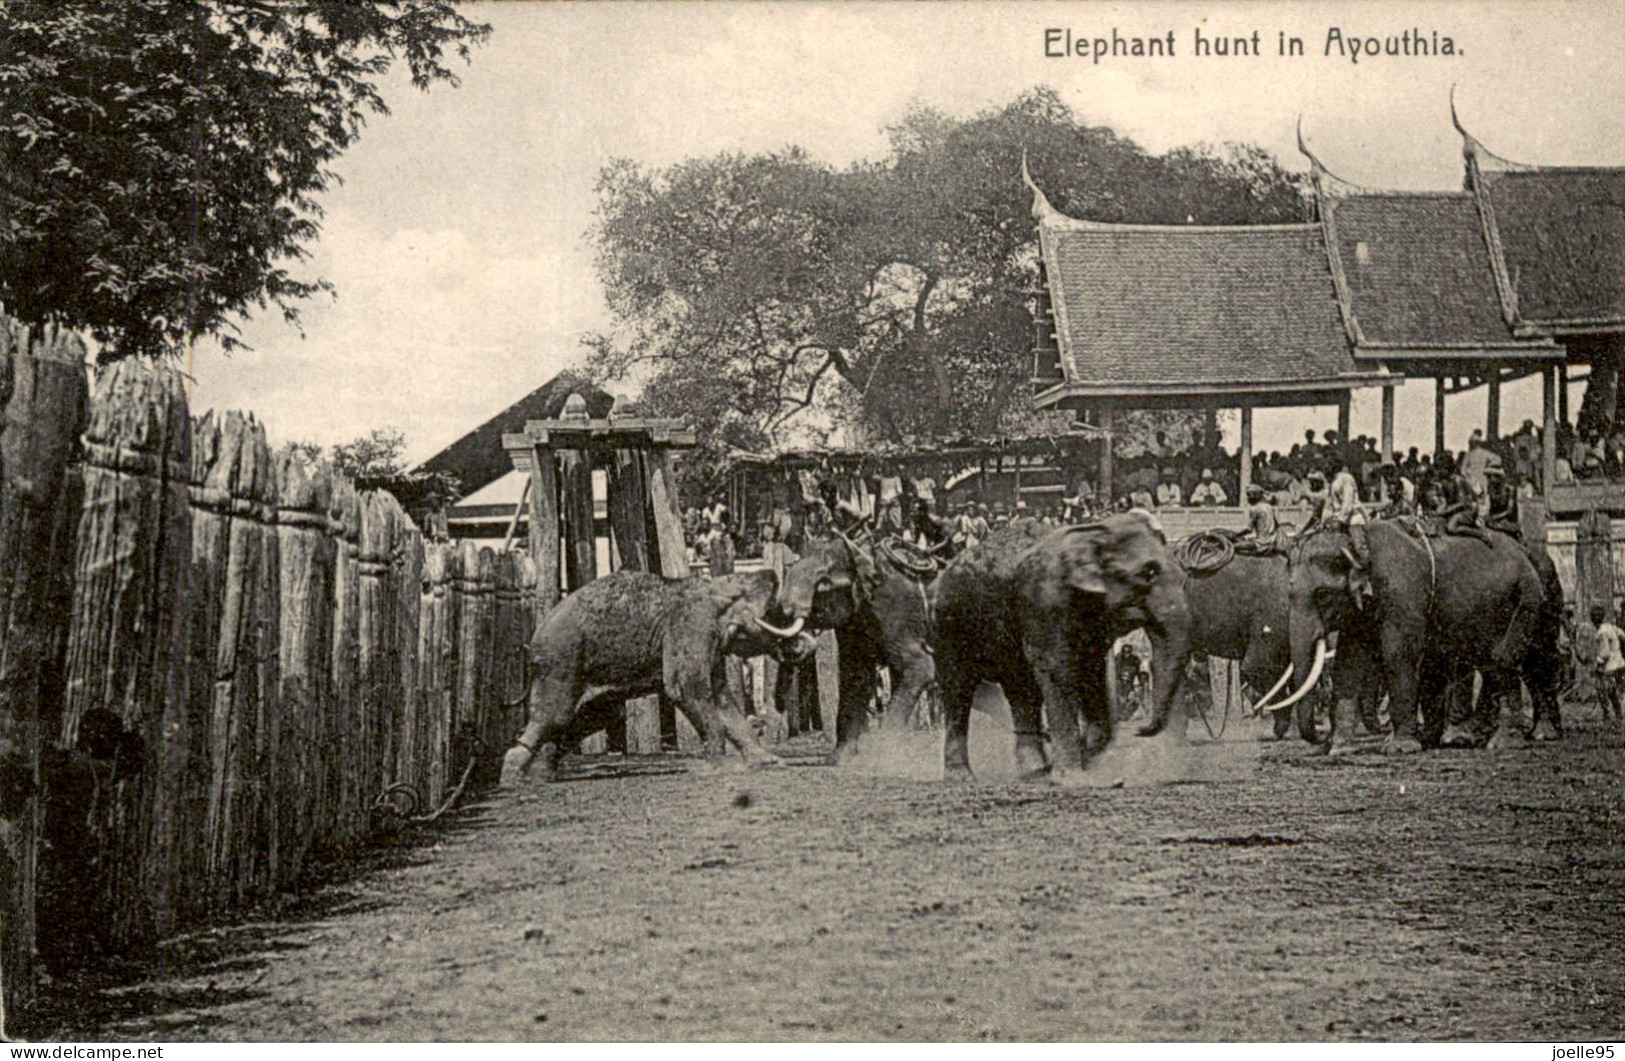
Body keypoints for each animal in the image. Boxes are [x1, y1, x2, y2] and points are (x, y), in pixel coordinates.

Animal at [494, 565, 819, 783]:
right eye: (773, 611)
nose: (774, 574)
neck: (716, 588)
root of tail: (532, 642)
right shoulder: (690, 627)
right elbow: (687, 690)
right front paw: (717, 768)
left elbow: (722, 701)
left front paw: (770, 762)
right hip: (562, 661)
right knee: (555, 716)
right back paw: (514, 777)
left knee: (594, 717)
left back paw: (543, 774)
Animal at [773, 532, 942, 757]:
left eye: (822, 585)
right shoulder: (853, 621)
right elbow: (855, 676)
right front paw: (840, 758)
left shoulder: (900, 612)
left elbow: (922, 667)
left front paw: (881, 754)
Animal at [929, 516, 1196, 783]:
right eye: (1148, 574)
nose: (1140, 730)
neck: (1094, 533)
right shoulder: (1043, 604)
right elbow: (1056, 669)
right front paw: (1072, 777)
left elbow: (1091, 671)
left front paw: (1086, 756)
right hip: (948, 624)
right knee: (958, 689)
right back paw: (962, 777)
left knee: (1021, 690)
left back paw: (1035, 771)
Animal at [1274, 519, 1553, 753]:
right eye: (1288, 595)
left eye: (1322, 595)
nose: (1321, 736)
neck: (1358, 539)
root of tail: (1525, 552)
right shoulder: (1360, 611)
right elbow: (1349, 663)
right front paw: (1339, 749)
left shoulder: (1403, 593)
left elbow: (1399, 654)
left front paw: (1399, 748)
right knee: (1507, 663)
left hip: (1523, 600)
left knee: (1505, 658)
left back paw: (1506, 742)